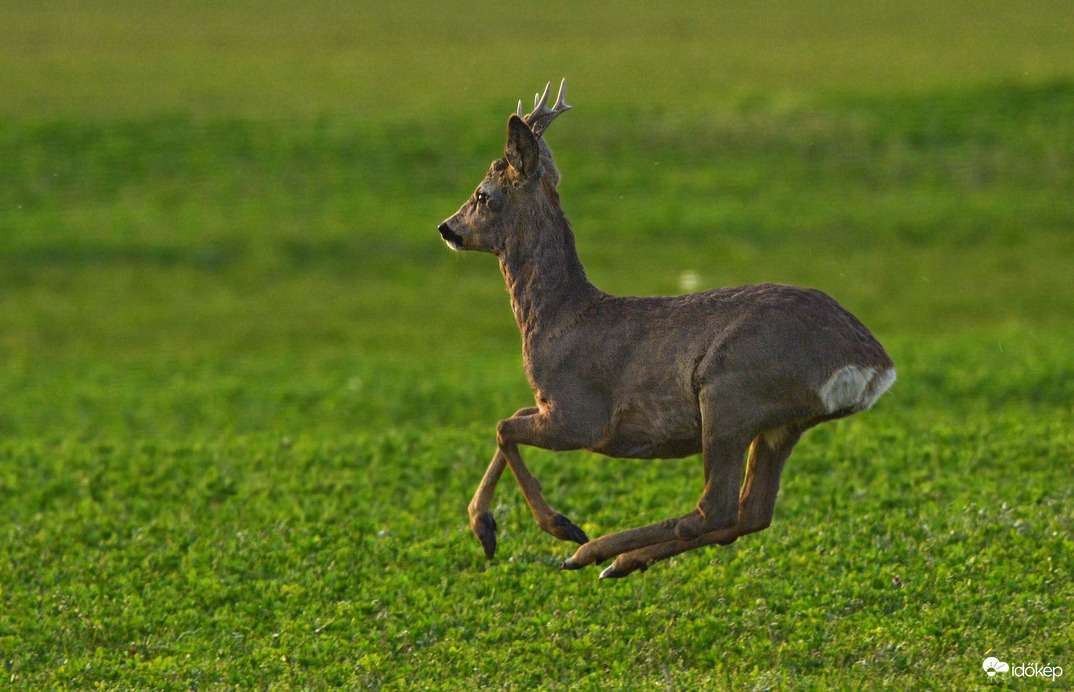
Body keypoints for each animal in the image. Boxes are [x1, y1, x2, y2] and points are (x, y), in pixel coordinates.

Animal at [436, 79, 897, 580]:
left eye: (483, 195)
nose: (447, 228)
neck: (560, 317)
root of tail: (873, 362)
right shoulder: (552, 406)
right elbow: (512, 418)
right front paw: (484, 530)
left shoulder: (582, 417)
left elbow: (504, 426)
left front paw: (556, 525)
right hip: (780, 422)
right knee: (752, 513)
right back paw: (615, 560)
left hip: (730, 392)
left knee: (713, 510)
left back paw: (592, 552)